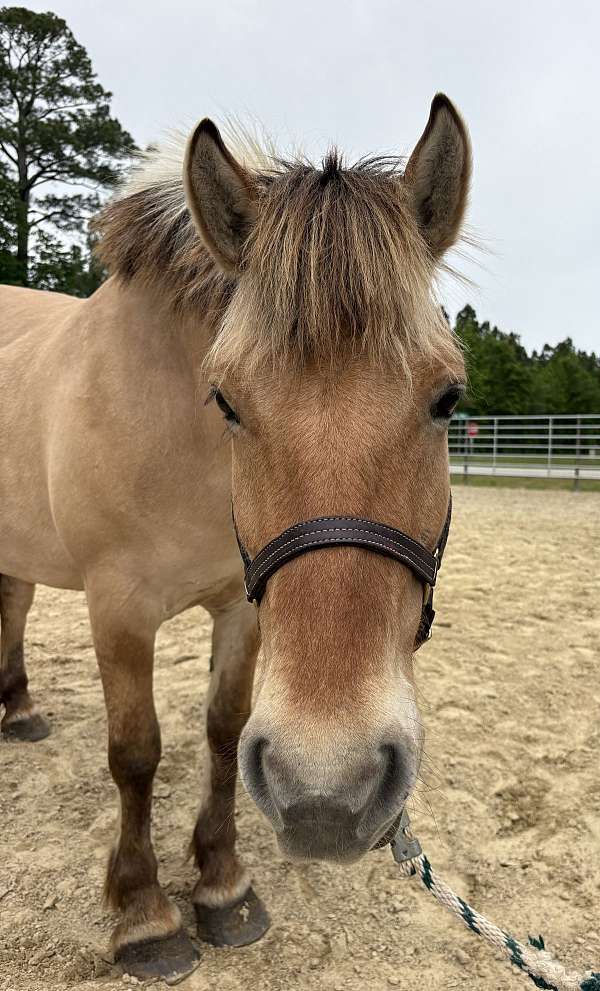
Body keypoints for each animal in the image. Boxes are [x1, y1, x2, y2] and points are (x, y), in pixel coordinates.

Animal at [0, 93, 470, 983]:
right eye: (224, 399)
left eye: (448, 398)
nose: (329, 795)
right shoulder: (118, 611)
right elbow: (135, 751)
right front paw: (145, 914)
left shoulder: (242, 607)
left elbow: (223, 731)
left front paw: (222, 885)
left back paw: (18, 709)